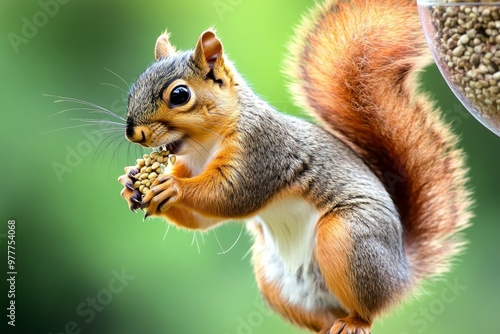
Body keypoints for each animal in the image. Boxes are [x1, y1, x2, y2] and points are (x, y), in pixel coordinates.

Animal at [118, 0, 472, 332]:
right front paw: (130, 182)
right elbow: (201, 219)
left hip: (349, 239)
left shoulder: (263, 151)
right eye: (133, 89)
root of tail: (401, 273)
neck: (203, 147)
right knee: (323, 317)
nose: (133, 133)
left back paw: (355, 322)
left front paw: (172, 187)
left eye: (180, 94)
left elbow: (232, 196)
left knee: (367, 310)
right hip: (275, 280)